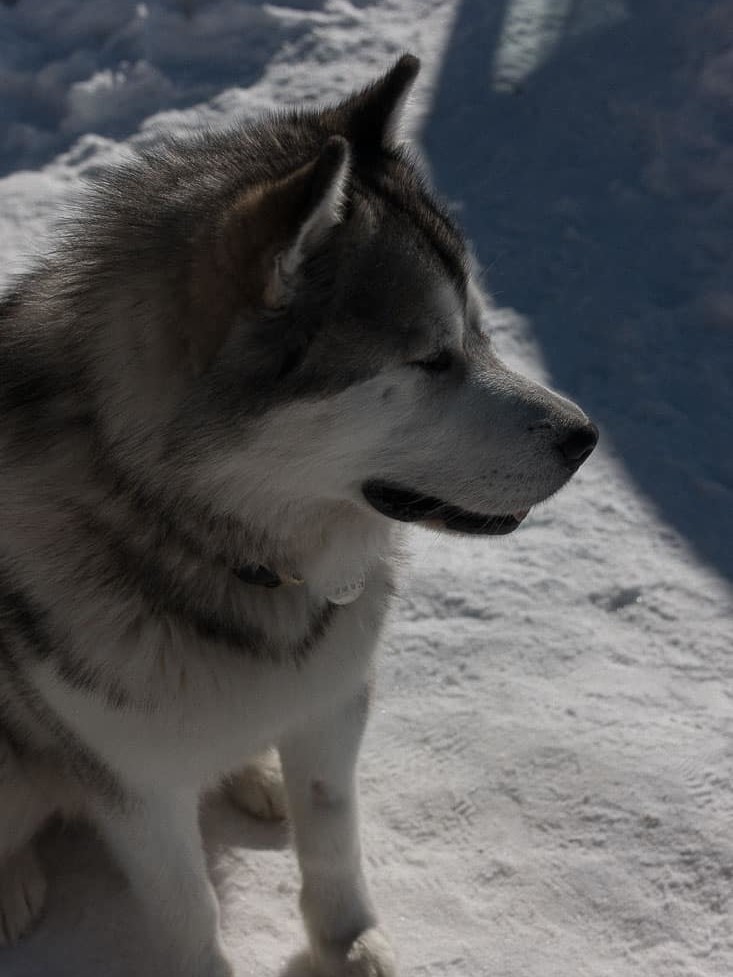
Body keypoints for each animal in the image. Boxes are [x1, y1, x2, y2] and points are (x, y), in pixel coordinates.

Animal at [0, 55, 596, 976]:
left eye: (480, 331)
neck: (229, 553)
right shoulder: (133, 786)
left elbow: (332, 829)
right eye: (431, 359)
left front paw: (344, 941)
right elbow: (188, 912)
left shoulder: (333, 699)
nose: (585, 437)